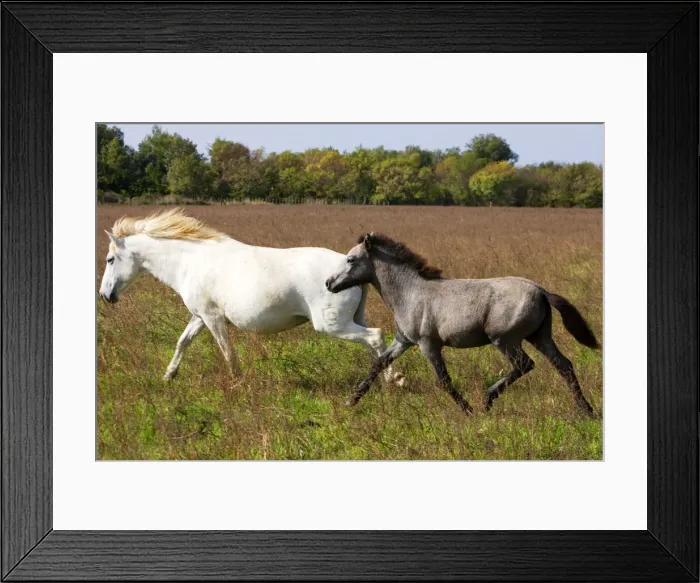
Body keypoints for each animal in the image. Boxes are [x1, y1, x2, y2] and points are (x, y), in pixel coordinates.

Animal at [98, 209, 402, 386]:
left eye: (110, 259)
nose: (105, 295)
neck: (191, 261)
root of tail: (351, 268)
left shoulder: (212, 318)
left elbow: (226, 351)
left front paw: (237, 382)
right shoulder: (199, 316)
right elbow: (182, 342)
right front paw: (168, 376)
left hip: (332, 325)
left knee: (375, 336)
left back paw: (394, 381)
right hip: (349, 321)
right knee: (373, 343)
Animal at [325, 232, 599, 416]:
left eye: (351, 259)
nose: (329, 283)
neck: (411, 292)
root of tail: (540, 290)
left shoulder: (428, 345)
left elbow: (444, 380)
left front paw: (467, 410)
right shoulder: (403, 341)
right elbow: (378, 364)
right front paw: (351, 400)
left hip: (505, 340)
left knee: (525, 364)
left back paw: (487, 399)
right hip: (540, 337)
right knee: (564, 365)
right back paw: (586, 410)